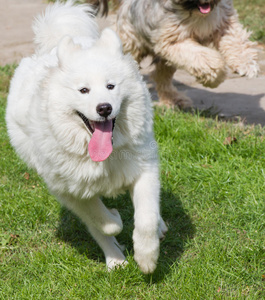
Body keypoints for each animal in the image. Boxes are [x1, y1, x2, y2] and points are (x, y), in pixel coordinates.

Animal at [5, 0, 167, 274]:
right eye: (83, 90)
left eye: (111, 86)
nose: (104, 108)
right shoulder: (70, 191)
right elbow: (103, 222)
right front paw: (115, 219)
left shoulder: (144, 169)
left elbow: (145, 218)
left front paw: (147, 258)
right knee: (97, 229)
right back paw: (115, 260)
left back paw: (159, 227)